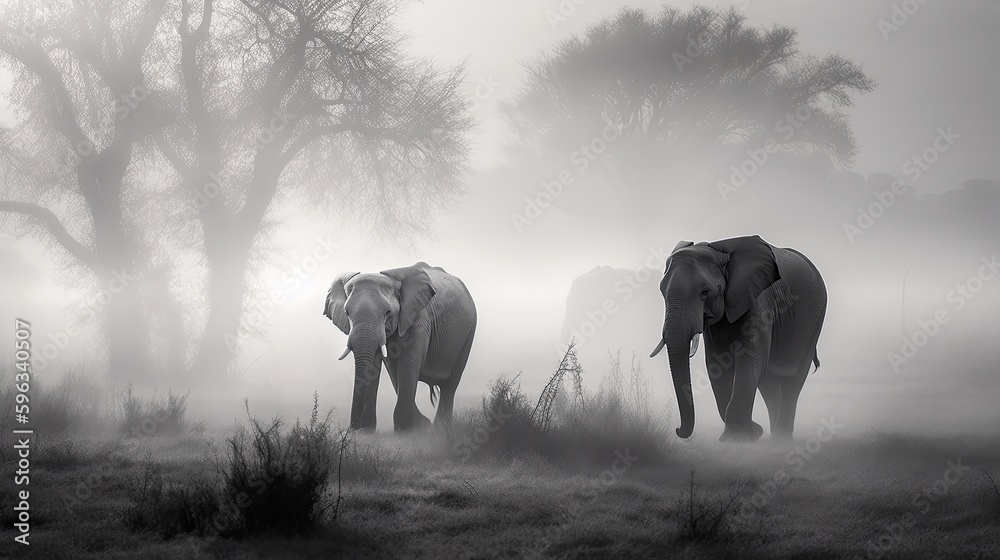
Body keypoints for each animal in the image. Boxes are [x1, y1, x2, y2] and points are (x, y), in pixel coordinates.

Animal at [323, 262, 477, 432]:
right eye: (347, 313)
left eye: (387, 312)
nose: (352, 429)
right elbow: (380, 363)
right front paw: (367, 432)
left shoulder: (419, 318)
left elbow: (408, 364)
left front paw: (405, 431)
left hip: (469, 330)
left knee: (451, 383)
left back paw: (439, 428)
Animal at [649, 236, 827, 442]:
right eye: (662, 292)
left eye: (705, 292)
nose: (678, 430)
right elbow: (716, 363)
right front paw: (751, 433)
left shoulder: (758, 300)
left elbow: (750, 359)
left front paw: (737, 439)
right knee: (770, 384)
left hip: (814, 322)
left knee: (793, 380)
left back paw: (779, 440)